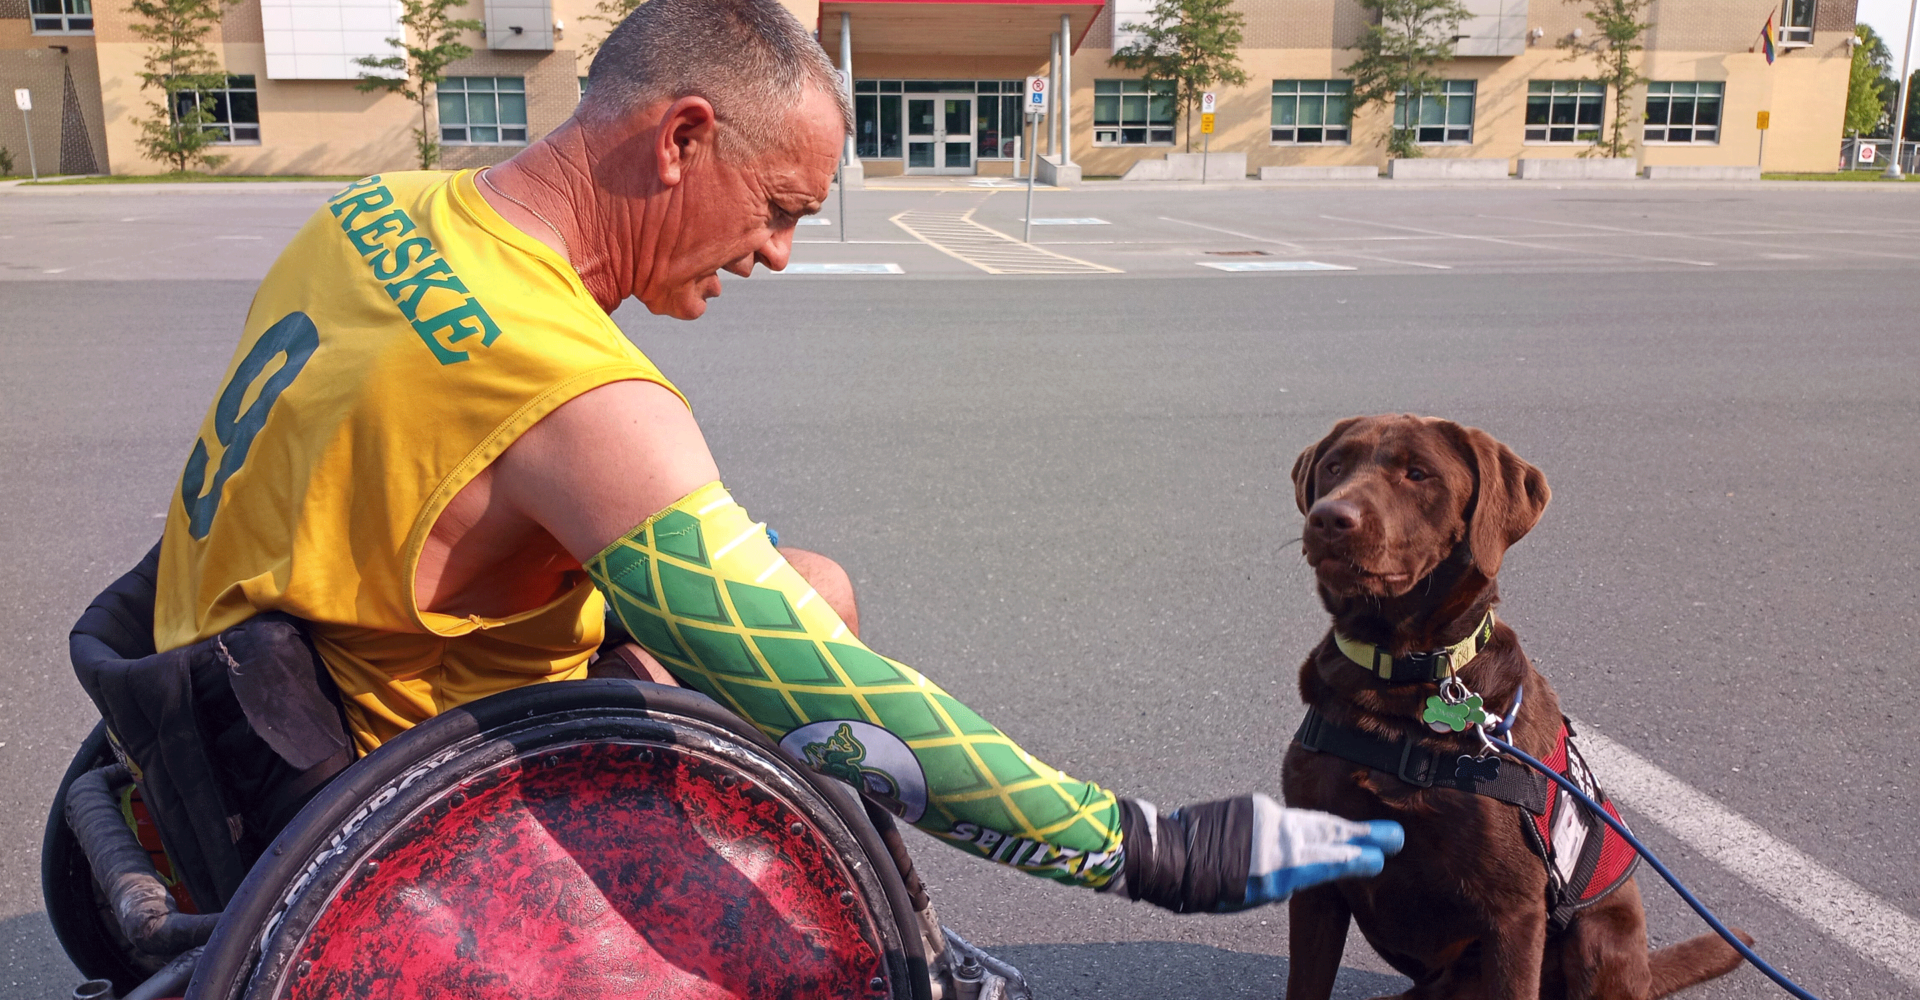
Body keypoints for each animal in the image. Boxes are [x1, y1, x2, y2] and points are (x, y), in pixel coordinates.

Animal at [1282, 408, 1751, 990]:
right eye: (1333, 466)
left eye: (1418, 474)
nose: (1329, 518)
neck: (1399, 677)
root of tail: (1645, 972)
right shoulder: (1316, 875)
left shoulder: (1514, 912)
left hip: (1599, 936)